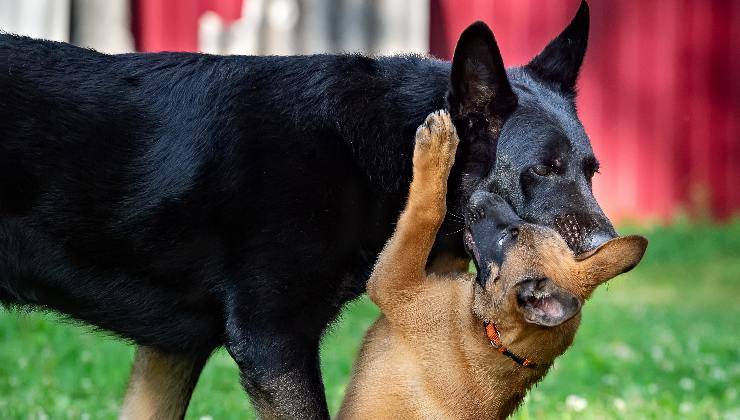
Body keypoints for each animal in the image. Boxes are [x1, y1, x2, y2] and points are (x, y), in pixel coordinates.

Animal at [0, 1, 612, 418]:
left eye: (591, 171)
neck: (370, 148)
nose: (609, 250)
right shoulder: (273, 342)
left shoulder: (172, 351)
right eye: (543, 170)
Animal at [338, 110, 644, 418]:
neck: (492, 335)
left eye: (511, 235)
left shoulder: (396, 282)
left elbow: (427, 213)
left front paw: (437, 148)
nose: (483, 193)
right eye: (527, 224)